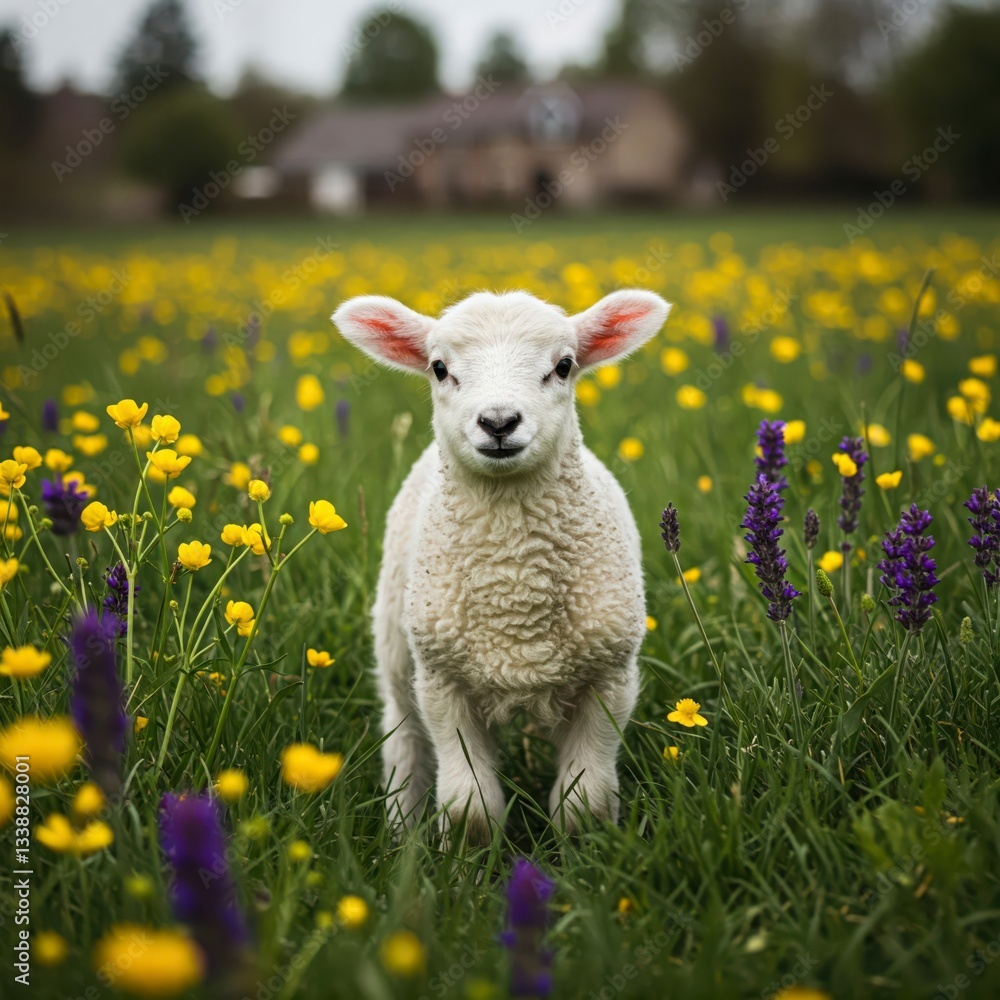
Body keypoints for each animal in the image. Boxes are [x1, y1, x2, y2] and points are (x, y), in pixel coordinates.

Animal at [332, 288, 670, 842]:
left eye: (564, 365)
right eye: (439, 368)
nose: (498, 422)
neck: (514, 588)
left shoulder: (610, 678)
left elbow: (586, 803)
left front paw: (586, 853)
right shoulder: (442, 681)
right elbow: (469, 808)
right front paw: (467, 857)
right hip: (397, 648)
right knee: (403, 738)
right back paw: (402, 830)